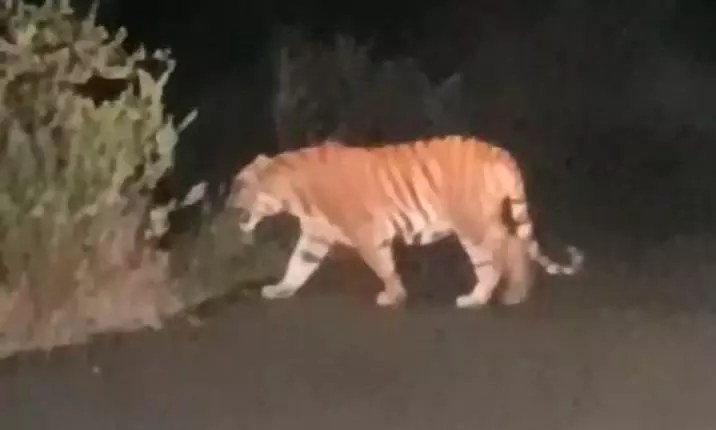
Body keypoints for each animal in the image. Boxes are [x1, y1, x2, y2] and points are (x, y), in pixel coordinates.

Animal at [228, 135, 583, 308]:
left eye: (238, 185)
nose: (226, 204)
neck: (290, 191)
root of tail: (498, 152)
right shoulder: (315, 236)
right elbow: (297, 266)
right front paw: (280, 289)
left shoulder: (366, 232)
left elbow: (383, 266)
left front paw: (393, 296)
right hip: (487, 219)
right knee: (513, 245)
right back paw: (515, 293)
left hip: (472, 225)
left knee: (494, 259)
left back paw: (476, 299)